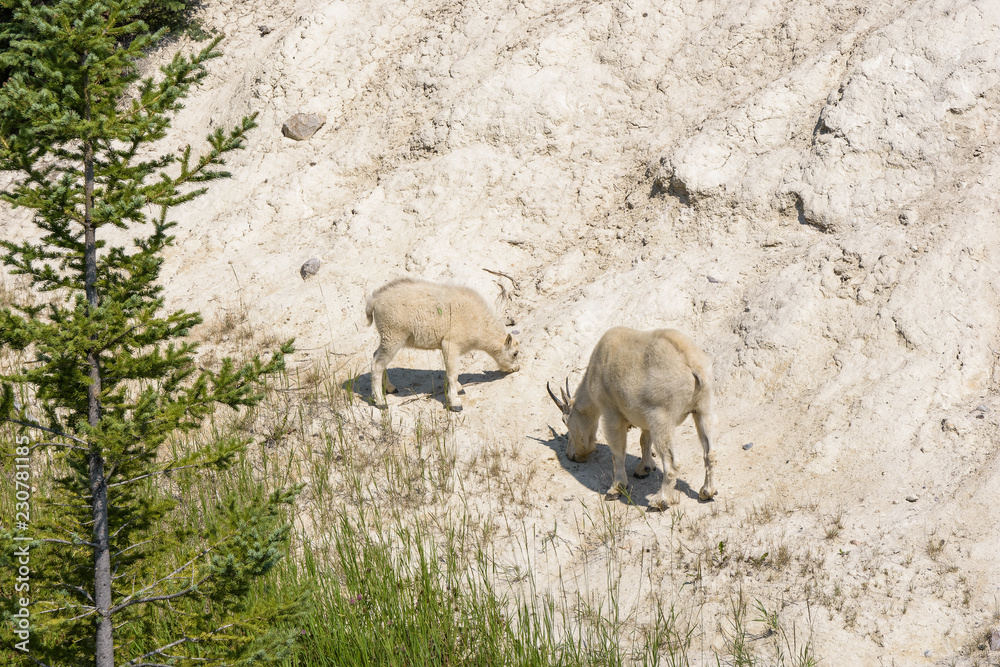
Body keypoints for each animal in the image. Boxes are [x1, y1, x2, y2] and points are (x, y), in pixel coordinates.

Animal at [366, 277, 520, 411]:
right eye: (515, 353)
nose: (517, 368)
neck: (479, 324)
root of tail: (374, 301)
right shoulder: (450, 344)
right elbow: (453, 373)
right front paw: (455, 403)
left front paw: (459, 389)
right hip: (392, 335)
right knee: (377, 364)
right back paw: (380, 401)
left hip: (388, 338)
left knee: (377, 357)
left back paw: (390, 388)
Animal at [547, 326, 716, 509]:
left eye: (565, 421)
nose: (572, 455)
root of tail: (693, 365)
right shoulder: (647, 417)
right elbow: (644, 440)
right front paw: (644, 469)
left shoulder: (611, 412)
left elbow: (618, 451)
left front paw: (616, 489)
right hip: (703, 409)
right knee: (710, 452)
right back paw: (707, 492)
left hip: (662, 417)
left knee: (672, 463)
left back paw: (660, 500)